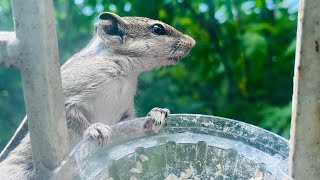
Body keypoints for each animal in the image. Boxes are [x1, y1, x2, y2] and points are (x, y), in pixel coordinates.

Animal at [0, 11, 195, 179]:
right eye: (157, 29)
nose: (192, 42)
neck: (126, 73)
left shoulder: (124, 114)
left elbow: (130, 126)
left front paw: (156, 114)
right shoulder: (68, 95)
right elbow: (71, 115)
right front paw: (94, 129)